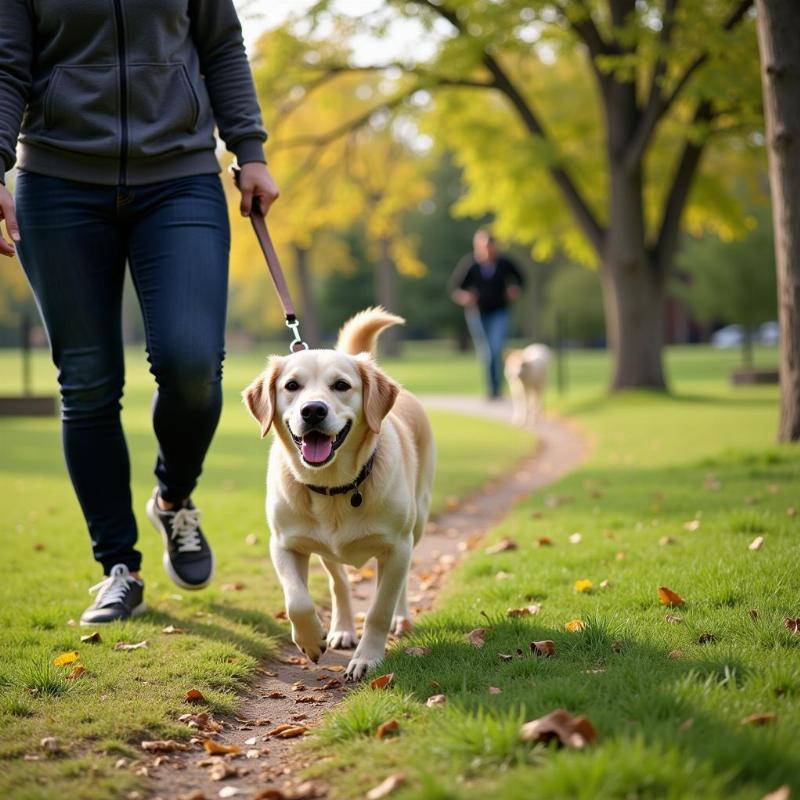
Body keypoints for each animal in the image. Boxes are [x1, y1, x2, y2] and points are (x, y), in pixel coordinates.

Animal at [242, 310, 434, 680]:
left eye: (341, 385)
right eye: (292, 386)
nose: (313, 410)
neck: (334, 486)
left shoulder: (397, 547)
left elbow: (379, 609)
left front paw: (368, 658)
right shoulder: (283, 544)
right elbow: (297, 600)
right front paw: (310, 639)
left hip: (417, 524)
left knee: (399, 585)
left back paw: (401, 618)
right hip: (326, 550)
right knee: (340, 582)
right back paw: (342, 628)